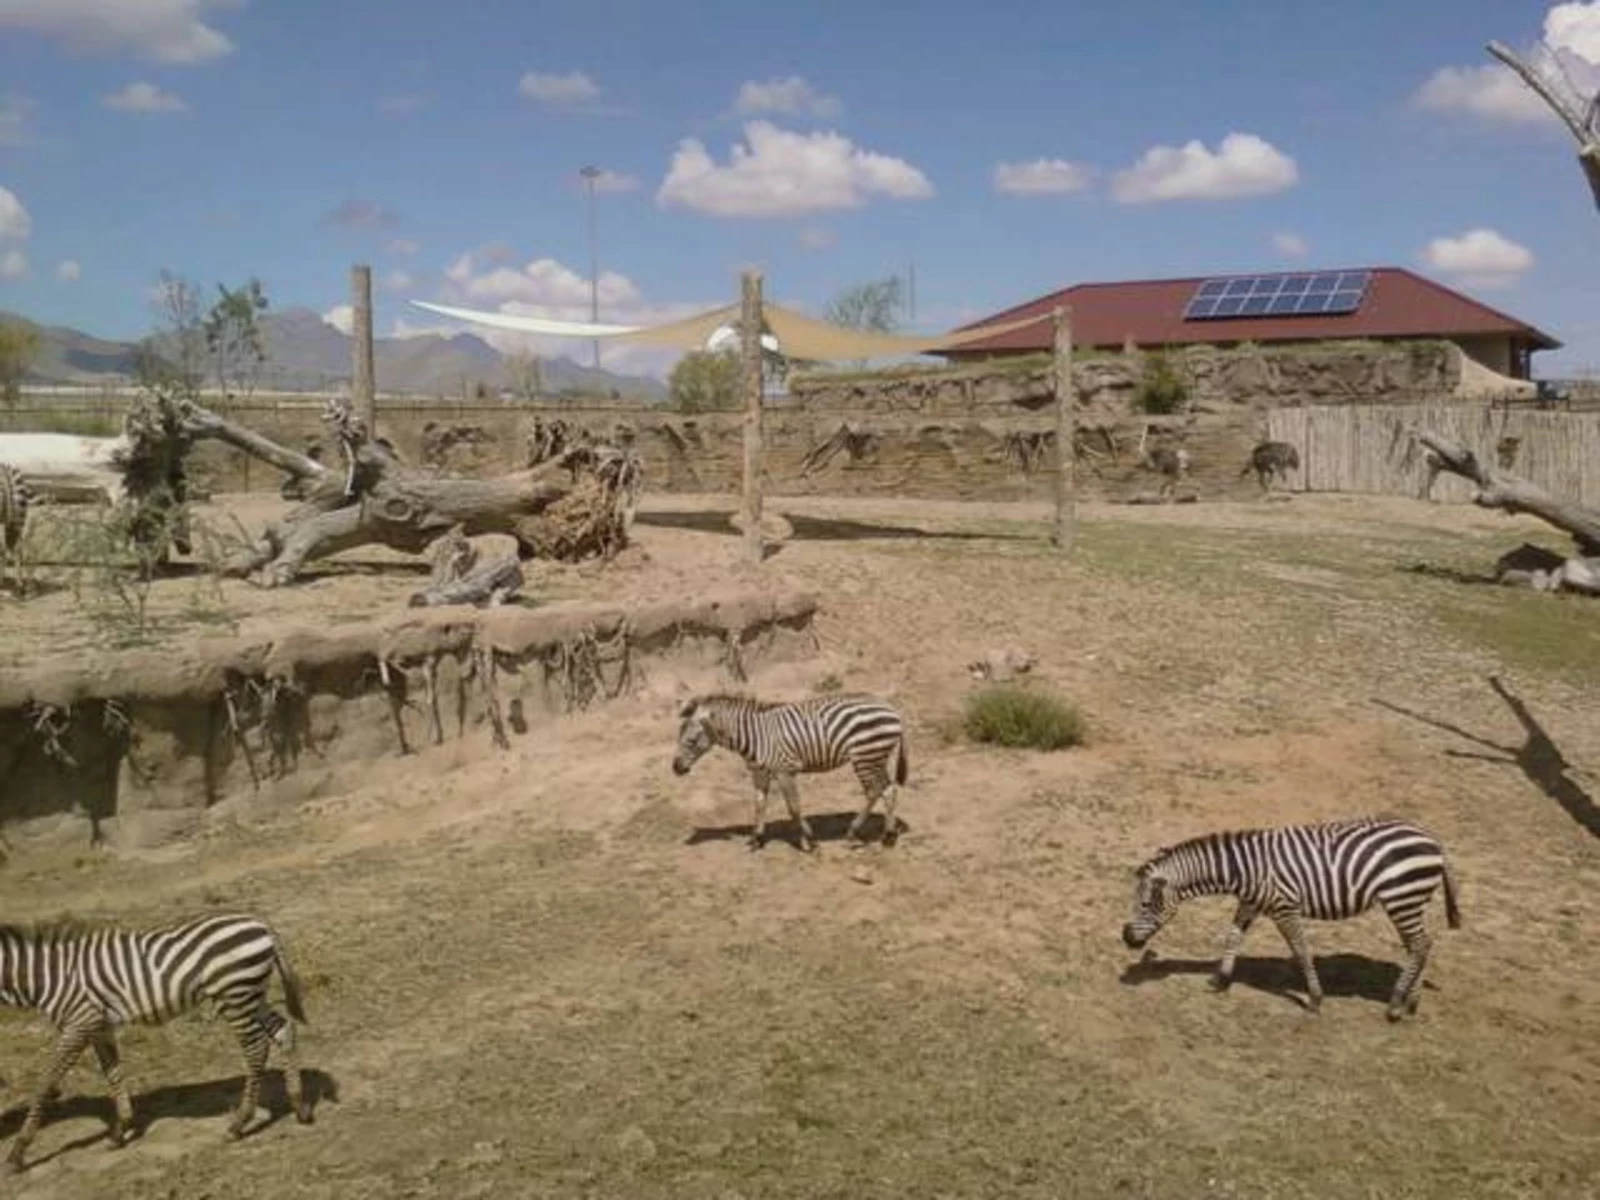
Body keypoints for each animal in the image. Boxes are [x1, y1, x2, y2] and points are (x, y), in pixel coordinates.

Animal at [0, 915, 315, 1171]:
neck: (48, 976)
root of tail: (262, 925)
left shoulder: (78, 1024)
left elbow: (46, 1081)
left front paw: (18, 1151)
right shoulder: (99, 1027)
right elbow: (113, 1074)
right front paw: (121, 1129)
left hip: (233, 994)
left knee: (256, 1049)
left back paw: (239, 1124)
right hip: (251, 995)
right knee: (284, 1031)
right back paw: (299, 1105)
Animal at [668, 694, 908, 857]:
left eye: (690, 741)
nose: (676, 768)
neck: (754, 737)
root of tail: (892, 709)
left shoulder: (785, 771)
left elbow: (793, 807)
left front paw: (810, 842)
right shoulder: (759, 773)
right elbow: (759, 804)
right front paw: (756, 839)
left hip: (865, 756)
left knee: (874, 791)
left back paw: (852, 833)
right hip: (876, 757)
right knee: (889, 789)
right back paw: (888, 836)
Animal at [1126, 819, 1465, 1024]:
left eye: (1144, 904)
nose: (1126, 938)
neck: (1241, 869)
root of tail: (1433, 840)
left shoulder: (1284, 907)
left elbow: (1300, 950)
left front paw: (1314, 999)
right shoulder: (1250, 903)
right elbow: (1233, 936)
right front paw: (1220, 979)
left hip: (1401, 897)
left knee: (1419, 944)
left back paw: (1395, 1005)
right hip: (1407, 901)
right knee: (1419, 945)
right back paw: (1410, 1002)